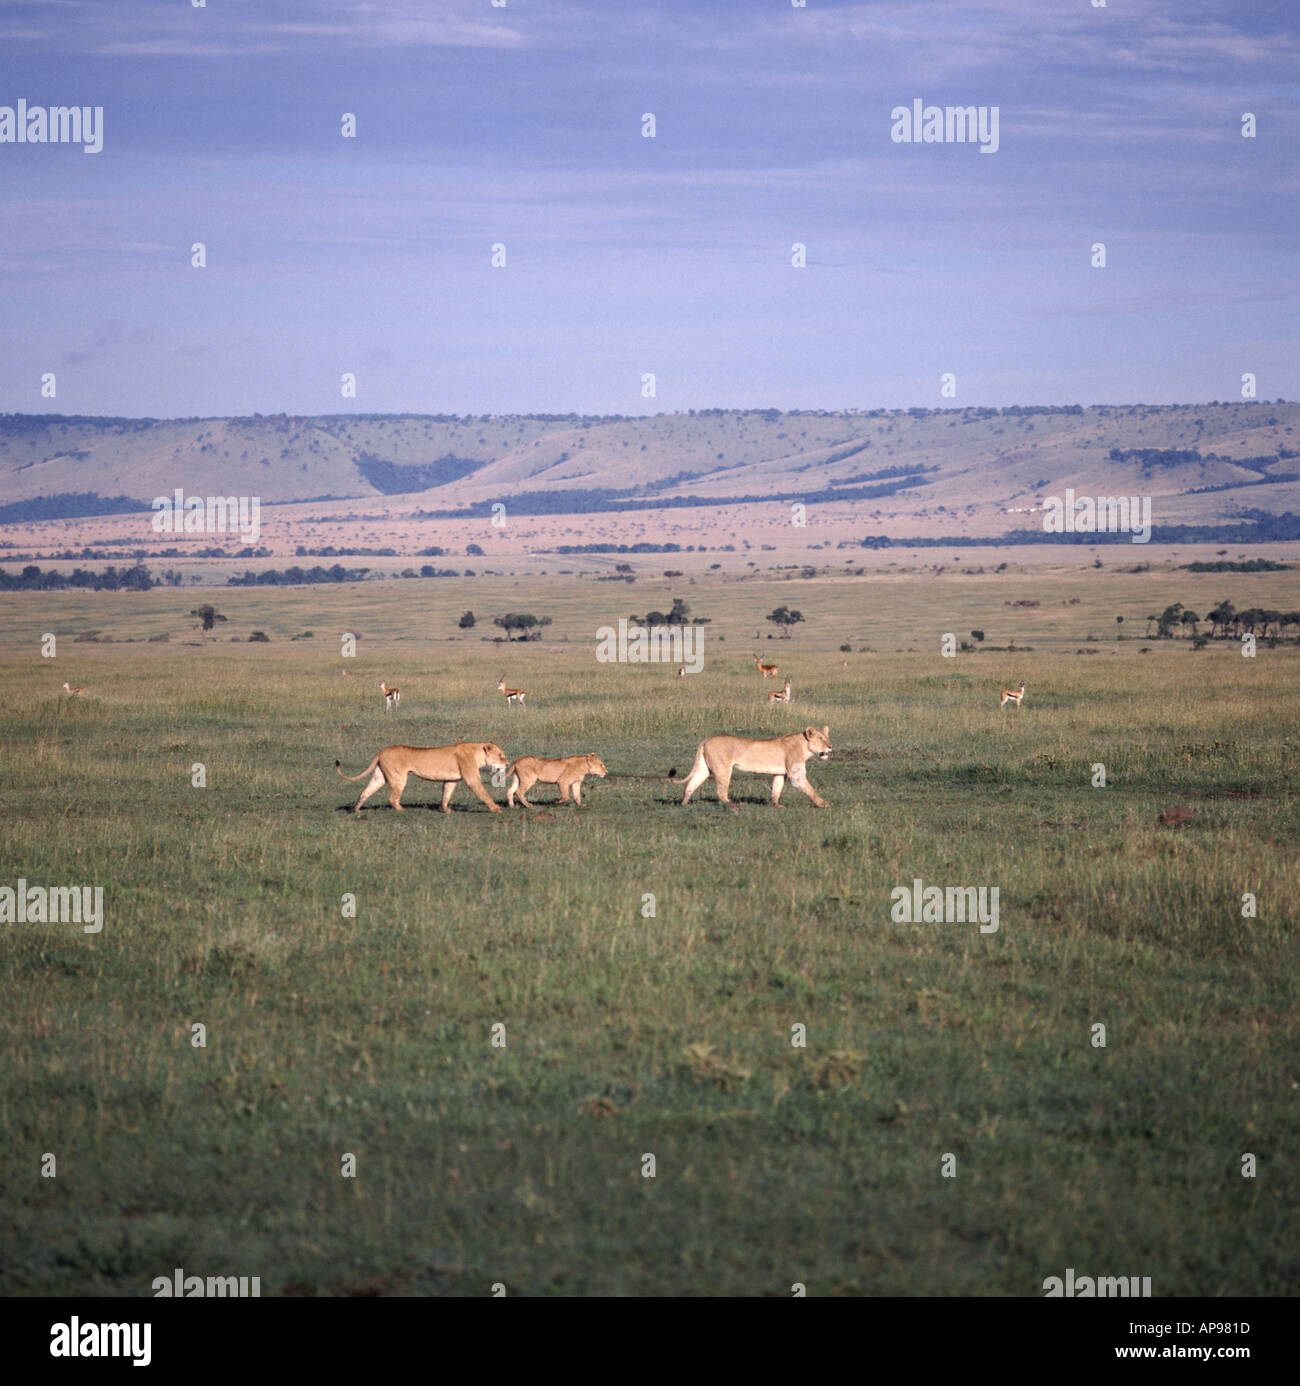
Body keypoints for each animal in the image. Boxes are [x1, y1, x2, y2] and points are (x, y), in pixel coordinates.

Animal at [336, 741, 508, 814]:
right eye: (500, 755)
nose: (507, 763)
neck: (477, 753)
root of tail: (382, 751)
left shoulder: (451, 780)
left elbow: (446, 794)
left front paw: (445, 810)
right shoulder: (471, 779)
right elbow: (484, 794)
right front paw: (496, 809)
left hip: (380, 777)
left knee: (365, 791)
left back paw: (356, 810)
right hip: (398, 777)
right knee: (392, 798)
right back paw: (402, 810)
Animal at [678, 725, 832, 807]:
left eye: (827, 738)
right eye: (821, 738)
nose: (830, 747)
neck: (804, 746)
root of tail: (707, 739)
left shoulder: (780, 773)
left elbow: (776, 789)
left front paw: (776, 805)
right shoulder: (796, 775)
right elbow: (810, 789)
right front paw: (823, 804)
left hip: (704, 768)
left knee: (690, 784)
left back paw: (684, 804)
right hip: (723, 769)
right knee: (721, 792)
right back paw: (733, 805)